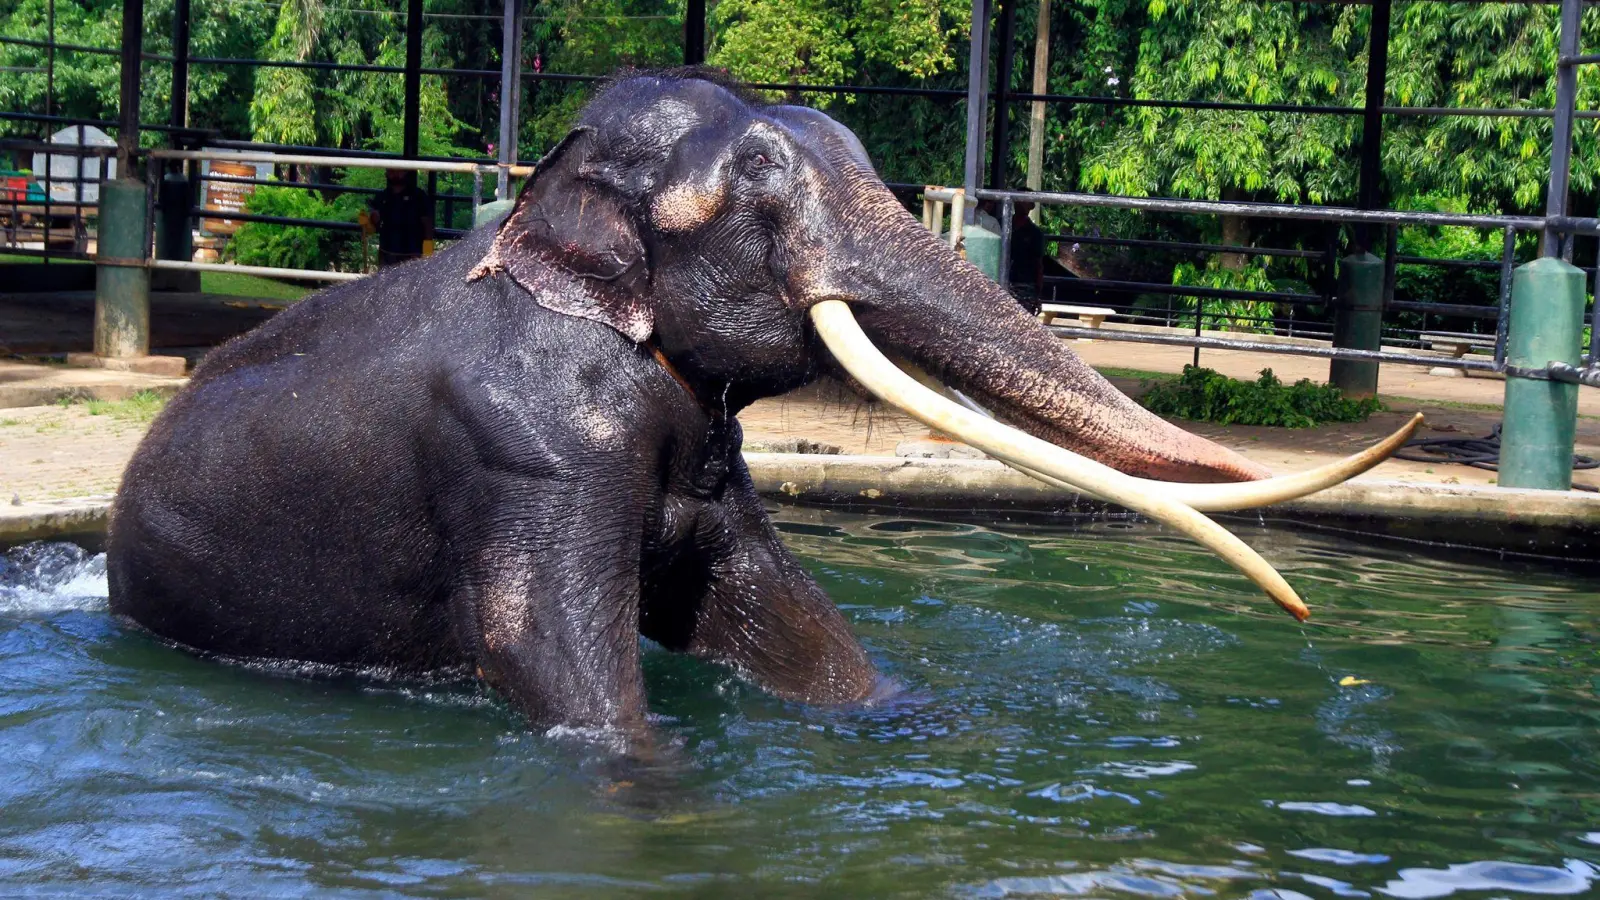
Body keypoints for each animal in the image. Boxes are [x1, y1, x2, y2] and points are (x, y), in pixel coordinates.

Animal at [109, 68, 1414, 730]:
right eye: (759, 187)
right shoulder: (525, 449)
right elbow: (548, 654)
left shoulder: (712, 469)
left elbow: (792, 628)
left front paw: (908, 724)